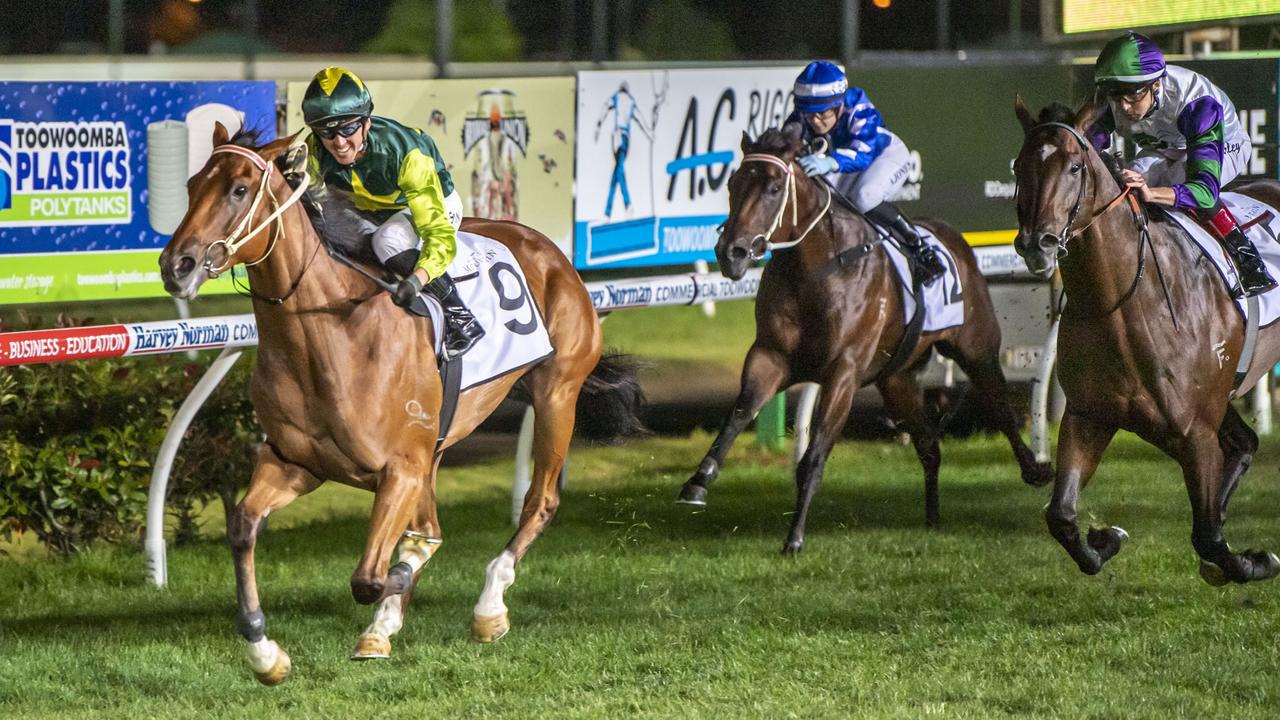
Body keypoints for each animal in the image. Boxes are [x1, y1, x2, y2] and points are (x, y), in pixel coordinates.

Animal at [156, 126, 645, 681]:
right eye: (192, 185)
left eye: (239, 189)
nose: (176, 265)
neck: (331, 331)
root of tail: (548, 249)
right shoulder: (296, 463)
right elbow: (242, 527)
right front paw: (266, 652)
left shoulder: (400, 469)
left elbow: (370, 577)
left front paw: (390, 608)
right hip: (439, 441)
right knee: (430, 527)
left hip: (557, 393)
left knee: (539, 502)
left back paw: (488, 606)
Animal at [675, 127, 1054, 556]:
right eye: (733, 184)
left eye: (773, 187)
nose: (732, 252)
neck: (814, 269)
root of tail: (952, 237)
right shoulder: (770, 357)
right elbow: (738, 413)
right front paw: (698, 482)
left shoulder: (844, 371)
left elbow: (814, 455)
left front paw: (794, 537)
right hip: (896, 380)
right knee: (929, 444)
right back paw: (933, 518)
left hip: (976, 348)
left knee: (1001, 408)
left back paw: (1035, 469)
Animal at [1013, 98, 1274, 584]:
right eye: (1019, 166)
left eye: (1074, 166)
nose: (1037, 243)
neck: (1123, 303)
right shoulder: (1089, 416)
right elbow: (1060, 516)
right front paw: (1106, 539)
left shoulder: (1196, 434)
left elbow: (1208, 536)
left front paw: (1255, 562)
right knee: (1245, 443)